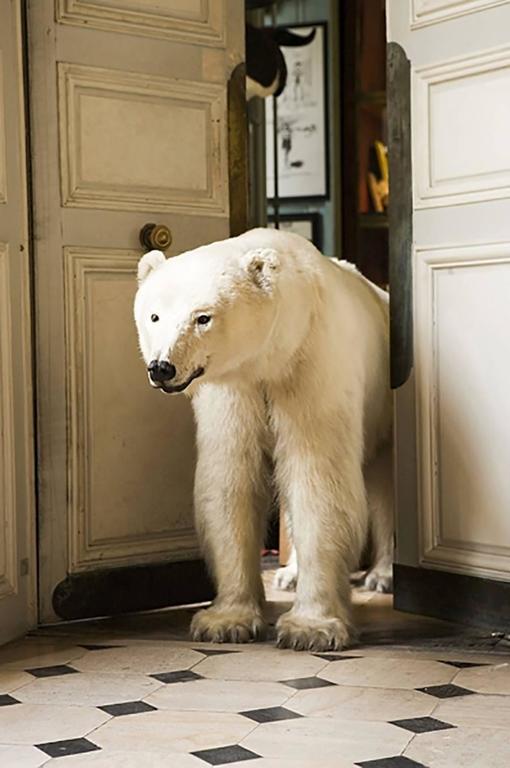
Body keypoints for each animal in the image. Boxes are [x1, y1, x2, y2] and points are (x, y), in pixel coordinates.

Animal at [134, 228, 393, 652]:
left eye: (203, 317)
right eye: (154, 315)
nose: (162, 367)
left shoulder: (313, 367)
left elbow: (317, 480)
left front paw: (311, 628)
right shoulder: (234, 390)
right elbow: (231, 479)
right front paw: (225, 621)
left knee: (386, 485)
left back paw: (383, 574)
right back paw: (289, 573)